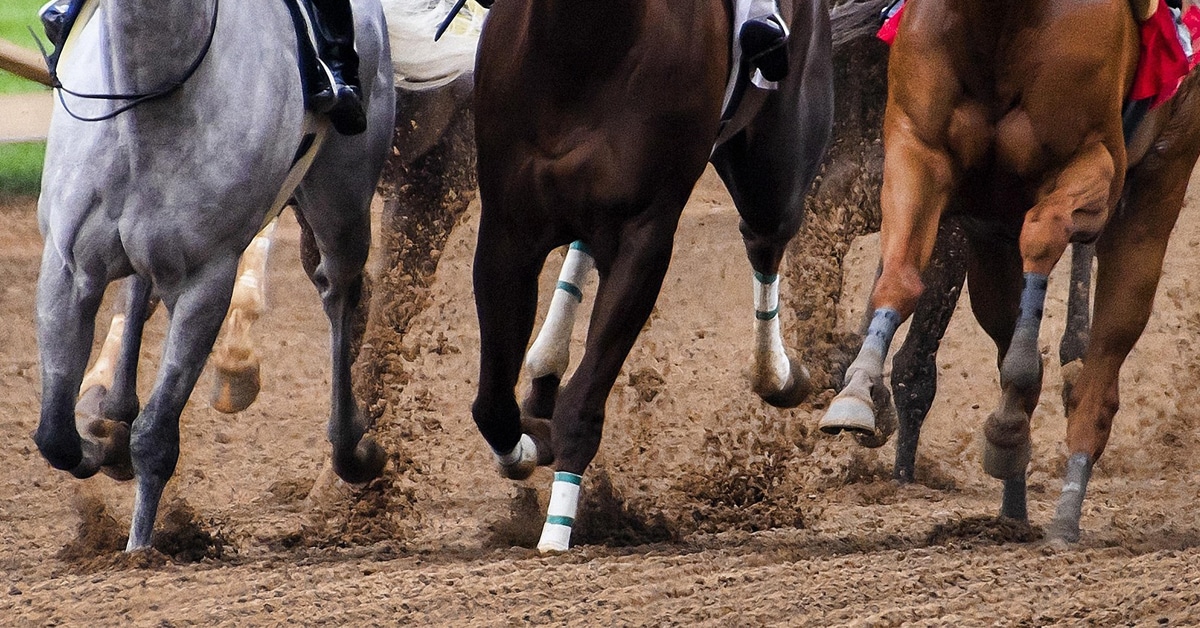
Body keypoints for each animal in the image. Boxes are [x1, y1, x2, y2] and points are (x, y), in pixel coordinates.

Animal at [32, 0, 396, 551]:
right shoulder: (67, 267)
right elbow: (55, 434)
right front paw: (103, 444)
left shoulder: (207, 279)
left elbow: (156, 436)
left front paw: (139, 549)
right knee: (139, 289)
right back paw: (114, 414)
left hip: (343, 203)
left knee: (339, 293)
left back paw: (350, 448)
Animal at [472, 0, 834, 552]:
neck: (582, 48)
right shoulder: (505, 230)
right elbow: (492, 405)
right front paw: (528, 446)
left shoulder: (644, 233)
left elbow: (584, 402)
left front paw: (556, 533)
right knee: (584, 247)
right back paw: (544, 368)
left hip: (776, 168)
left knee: (763, 237)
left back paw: (778, 374)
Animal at [820, 0, 1200, 541]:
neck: (999, 19)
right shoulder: (918, 152)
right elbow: (898, 277)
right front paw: (856, 392)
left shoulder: (1095, 165)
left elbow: (1042, 237)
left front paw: (1012, 408)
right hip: (990, 239)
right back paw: (1011, 509)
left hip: (1157, 184)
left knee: (1104, 365)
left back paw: (1064, 513)